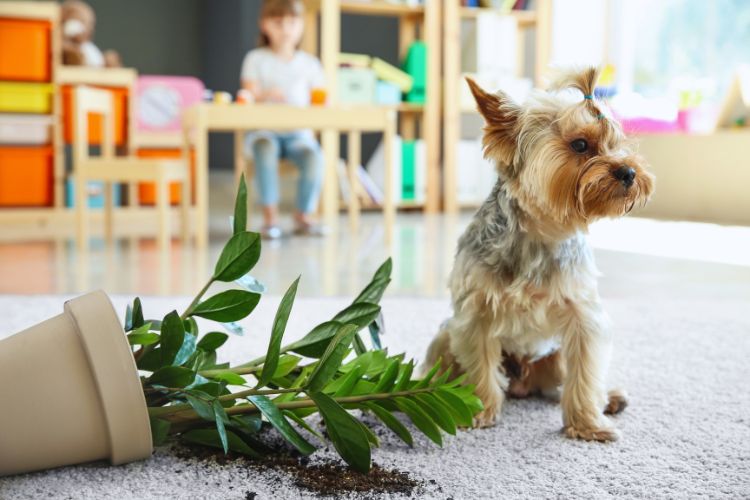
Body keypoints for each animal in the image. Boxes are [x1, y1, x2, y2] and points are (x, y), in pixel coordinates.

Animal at [426, 66, 656, 442]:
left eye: (617, 144)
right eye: (580, 145)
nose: (630, 172)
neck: (541, 232)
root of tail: (524, 381)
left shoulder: (583, 317)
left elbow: (584, 374)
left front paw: (587, 425)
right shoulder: (474, 315)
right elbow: (480, 367)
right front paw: (480, 411)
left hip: (553, 359)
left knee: (568, 382)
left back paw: (609, 398)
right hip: (445, 336)